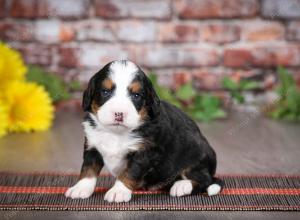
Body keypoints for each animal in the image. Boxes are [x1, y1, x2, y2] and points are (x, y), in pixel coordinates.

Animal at [65, 60, 223, 203]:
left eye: (136, 95)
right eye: (105, 92)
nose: (119, 113)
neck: (116, 133)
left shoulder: (144, 152)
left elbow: (129, 172)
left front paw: (118, 191)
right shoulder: (92, 146)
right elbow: (88, 169)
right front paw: (80, 188)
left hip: (195, 155)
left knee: (205, 180)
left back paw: (182, 186)